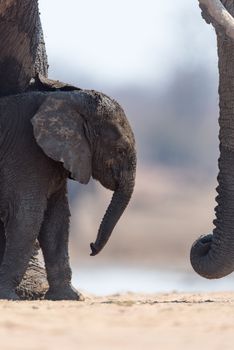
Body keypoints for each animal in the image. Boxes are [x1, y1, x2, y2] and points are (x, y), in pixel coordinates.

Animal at [0, 90, 136, 300]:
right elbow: (28, 218)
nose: (91, 247)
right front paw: (8, 295)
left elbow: (57, 220)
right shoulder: (26, 154)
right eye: (120, 150)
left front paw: (70, 296)